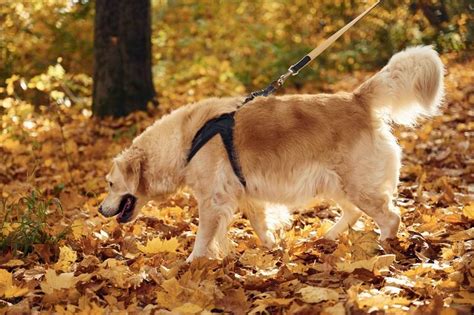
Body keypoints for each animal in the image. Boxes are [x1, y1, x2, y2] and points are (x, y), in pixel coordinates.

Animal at [99, 45, 444, 262]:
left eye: (111, 184)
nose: (101, 211)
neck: (188, 140)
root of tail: (357, 99)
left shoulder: (212, 200)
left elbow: (202, 238)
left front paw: (189, 265)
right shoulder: (248, 196)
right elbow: (260, 225)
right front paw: (273, 249)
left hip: (359, 185)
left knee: (391, 217)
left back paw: (384, 246)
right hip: (337, 183)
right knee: (353, 213)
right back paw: (326, 238)